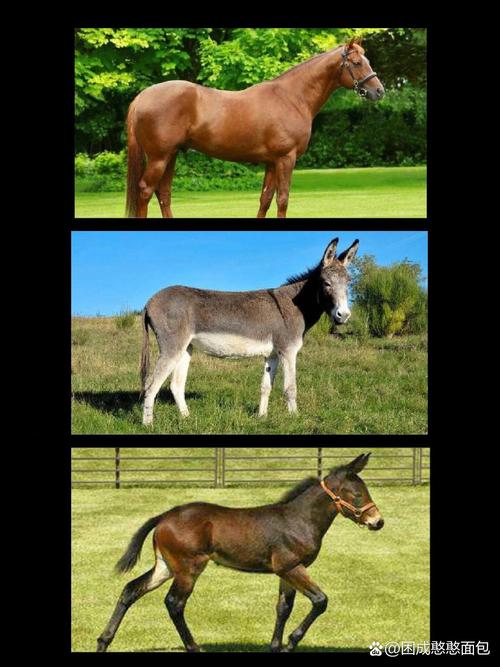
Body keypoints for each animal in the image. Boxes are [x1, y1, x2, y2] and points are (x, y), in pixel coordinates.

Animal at [96, 453, 384, 653]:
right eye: (357, 494)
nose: (378, 522)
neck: (298, 519)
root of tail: (164, 516)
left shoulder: (285, 572)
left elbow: (283, 608)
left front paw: (276, 646)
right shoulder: (292, 567)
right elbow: (320, 600)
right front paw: (291, 642)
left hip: (166, 566)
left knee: (131, 590)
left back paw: (103, 641)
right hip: (188, 569)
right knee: (174, 603)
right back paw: (194, 646)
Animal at [125, 39, 384, 218]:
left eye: (368, 61)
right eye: (357, 63)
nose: (379, 91)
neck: (292, 97)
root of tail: (143, 96)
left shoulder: (271, 162)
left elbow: (265, 199)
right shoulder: (286, 158)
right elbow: (282, 199)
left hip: (171, 155)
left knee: (163, 194)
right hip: (159, 157)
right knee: (145, 191)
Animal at [140, 237, 359, 426]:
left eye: (348, 283)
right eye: (326, 283)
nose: (343, 315)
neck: (296, 305)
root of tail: (148, 302)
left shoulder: (273, 355)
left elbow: (266, 387)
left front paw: (262, 417)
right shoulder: (288, 351)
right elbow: (290, 388)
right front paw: (296, 419)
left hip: (186, 348)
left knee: (176, 386)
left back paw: (187, 419)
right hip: (172, 348)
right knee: (151, 385)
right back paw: (148, 424)